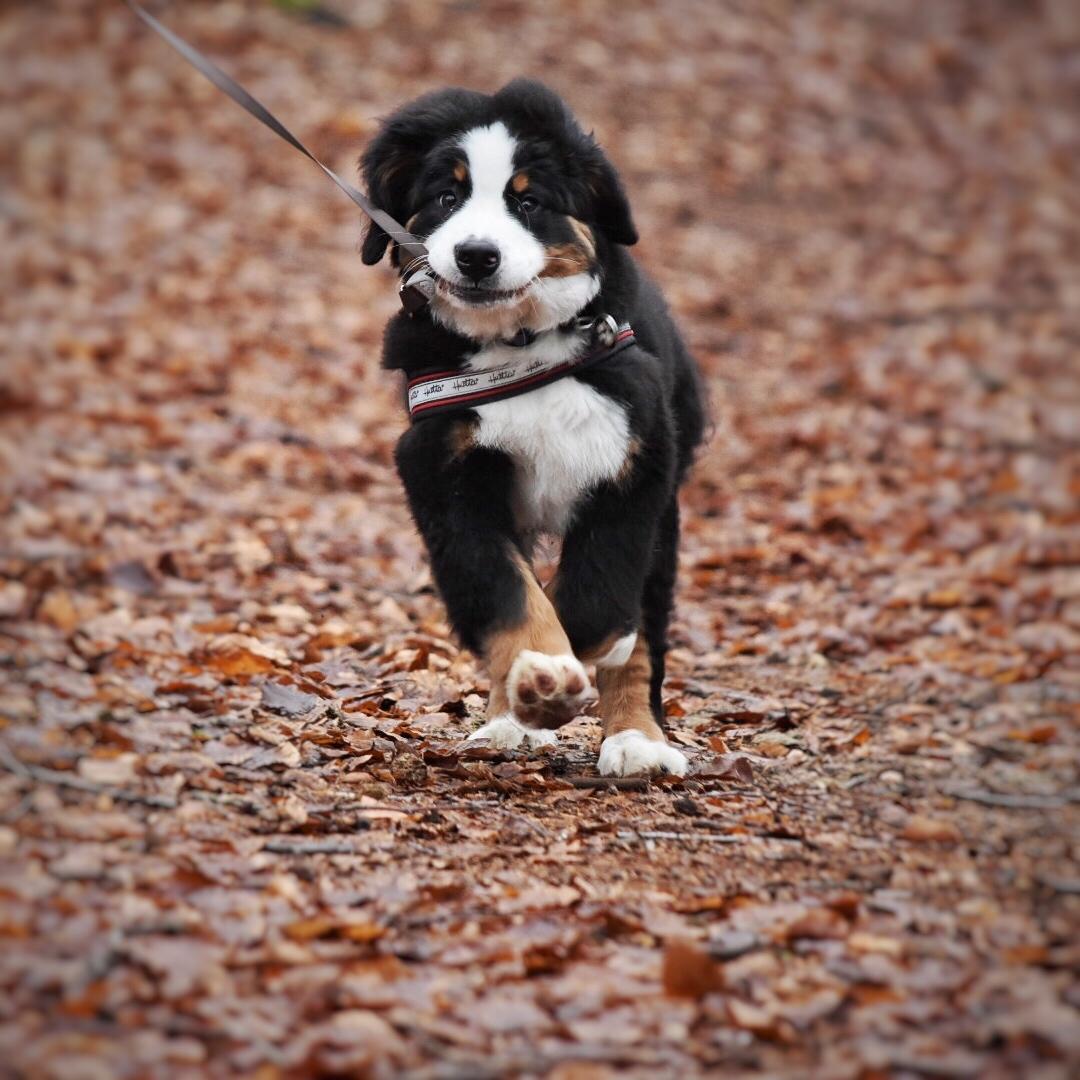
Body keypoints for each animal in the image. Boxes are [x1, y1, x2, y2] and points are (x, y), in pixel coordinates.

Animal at [358, 82, 704, 777]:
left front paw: (585, 651)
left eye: (528, 201)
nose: (476, 255)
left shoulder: (634, 459)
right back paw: (511, 718)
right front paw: (541, 675)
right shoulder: (444, 471)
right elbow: (505, 587)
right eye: (447, 197)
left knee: (646, 626)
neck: (519, 345)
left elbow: (601, 591)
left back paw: (638, 741)